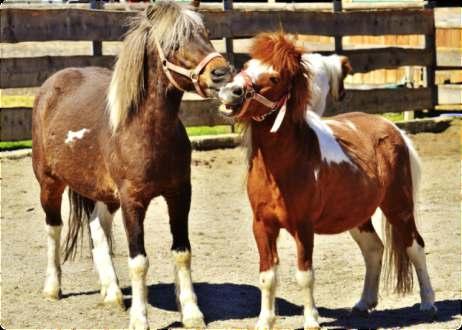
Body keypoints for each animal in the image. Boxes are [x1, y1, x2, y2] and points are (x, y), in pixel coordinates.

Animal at [32, 1, 231, 328]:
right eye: (173, 43)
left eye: (206, 33)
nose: (222, 73)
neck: (145, 131)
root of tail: (53, 85)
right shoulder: (132, 202)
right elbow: (139, 261)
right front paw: (140, 317)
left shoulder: (180, 195)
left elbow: (182, 252)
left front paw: (191, 312)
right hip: (49, 183)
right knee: (53, 228)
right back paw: (52, 287)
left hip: (102, 194)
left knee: (97, 228)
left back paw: (111, 292)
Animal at [218, 32, 434, 328]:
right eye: (247, 65)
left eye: (274, 77)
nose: (230, 92)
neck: (285, 166)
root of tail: (393, 129)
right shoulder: (262, 226)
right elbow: (267, 276)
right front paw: (264, 321)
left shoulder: (303, 227)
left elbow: (304, 275)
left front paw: (311, 320)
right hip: (358, 215)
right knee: (374, 250)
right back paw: (364, 303)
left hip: (398, 207)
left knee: (416, 247)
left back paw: (428, 303)